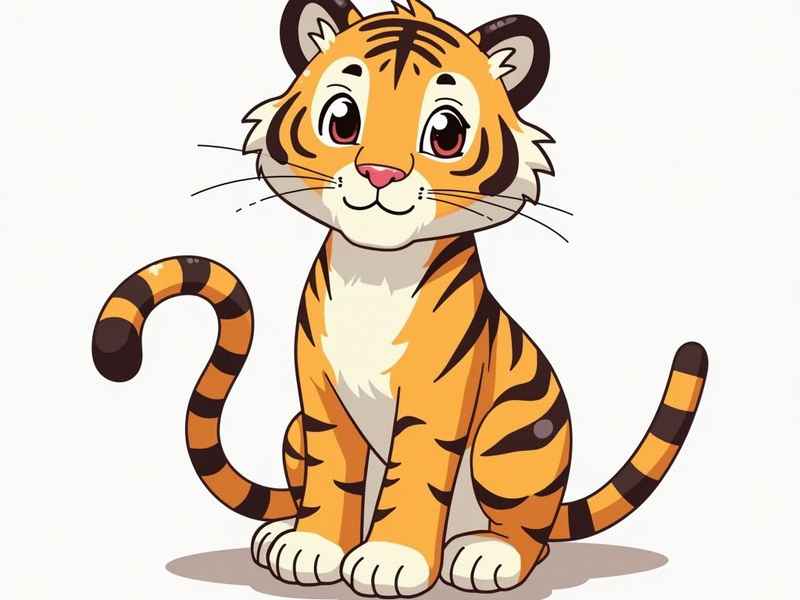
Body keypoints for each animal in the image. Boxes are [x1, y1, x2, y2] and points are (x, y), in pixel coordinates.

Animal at [91, 0, 708, 596]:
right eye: (342, 120)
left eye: (446, 133)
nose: (379, 172)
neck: (375, 271)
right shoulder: (319, 394)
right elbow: (332, 474)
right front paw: (311, 548)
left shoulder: (436, 396)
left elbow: (415, 476)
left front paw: (391, 561)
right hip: (295, 430)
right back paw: (280, 530)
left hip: (510, 441)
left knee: (531, 534)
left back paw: (486, 554)